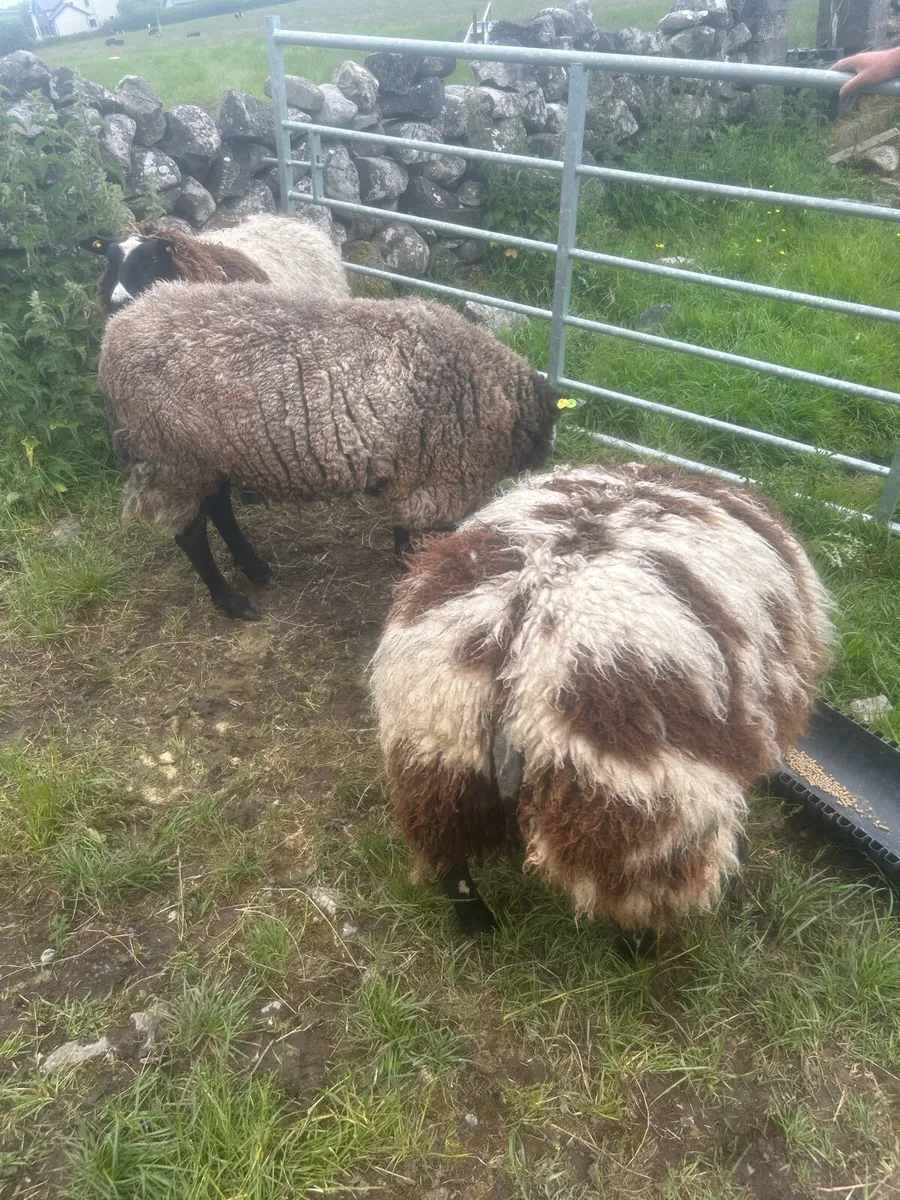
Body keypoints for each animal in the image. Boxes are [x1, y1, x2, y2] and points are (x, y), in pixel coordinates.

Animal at [97, 281, 559, 621]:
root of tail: (115, 331)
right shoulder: (437, 480)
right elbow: (416, 536)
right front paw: (414, 573)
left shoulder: (412, 476)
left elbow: (402, 528)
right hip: (171, 454)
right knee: (190, 534)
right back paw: (232, 602)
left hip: (211, 451)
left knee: (220, 508)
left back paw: (255, 567)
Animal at [370, 462, 833, 940]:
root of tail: (521, 628)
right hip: (634, 814)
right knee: (642, 898)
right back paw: (644, 947)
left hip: (436, 761)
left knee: (450, 860)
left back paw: (478, 924)